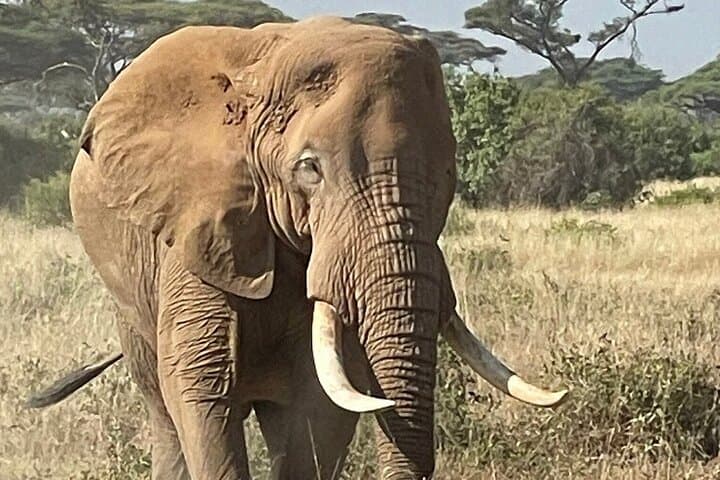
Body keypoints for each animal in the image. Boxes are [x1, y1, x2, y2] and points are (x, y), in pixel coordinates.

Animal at [28, 16, 567, 480]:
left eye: (449, 174)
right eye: (310, 168)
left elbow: (317, 407)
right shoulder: (195, 227)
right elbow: (201, 384)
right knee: (164, 413)